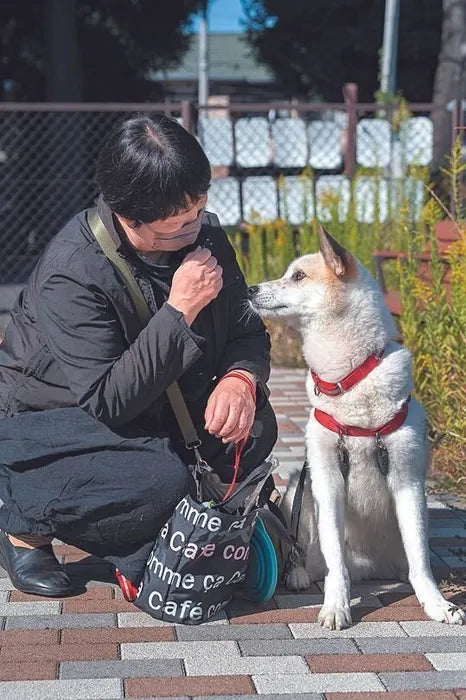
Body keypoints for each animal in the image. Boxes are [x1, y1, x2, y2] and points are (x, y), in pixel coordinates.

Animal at [249, 224, 464, 628]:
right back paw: (298, 573)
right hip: (298, 488)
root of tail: (370, 569)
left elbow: (420, 560)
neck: (350, 379)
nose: (250, 289)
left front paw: (437, 603)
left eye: (298, 276)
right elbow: (335, 562)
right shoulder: (327, 480)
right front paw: (336, 605)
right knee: (302, 548)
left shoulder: (408, 482)